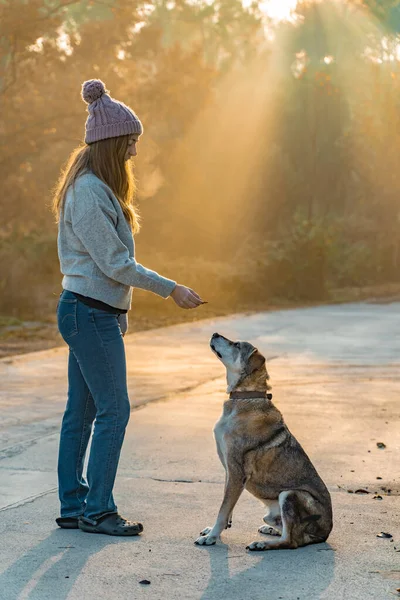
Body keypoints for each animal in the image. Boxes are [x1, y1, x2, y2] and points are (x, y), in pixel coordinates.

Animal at [195, 330, 332, 552]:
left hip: (290, 494)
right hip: (273, 510)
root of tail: (326, 533)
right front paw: (216, 530)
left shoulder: (237, 471)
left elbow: (223, 509)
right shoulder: (229, 470)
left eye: (236, 345)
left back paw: (262, 544)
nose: (215, 333)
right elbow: (227, 504)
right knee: (287, 530)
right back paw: (271, 530)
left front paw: (212, 537)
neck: (244, 398)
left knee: (292, 541)